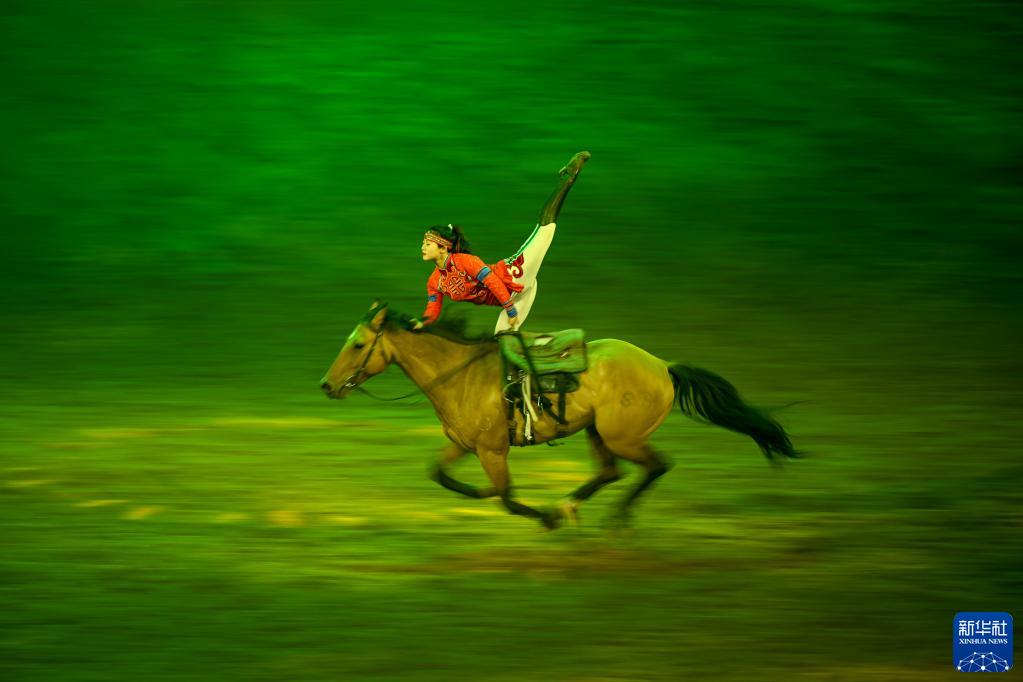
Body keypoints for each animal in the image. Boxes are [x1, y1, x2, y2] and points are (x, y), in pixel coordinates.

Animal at [321, 300, 798, 529]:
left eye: (358, 344)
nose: (327, 385)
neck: (462, 374)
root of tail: (663, 366)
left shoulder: (492, 450)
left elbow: (508, 497)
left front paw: (544, 517)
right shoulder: (464, 444)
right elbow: (441, 475)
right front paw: (485, 495)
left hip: (623, 436)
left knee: (655, 466)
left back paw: (612, 518)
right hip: (597, 432)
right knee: (610, 472)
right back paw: (570, 505)